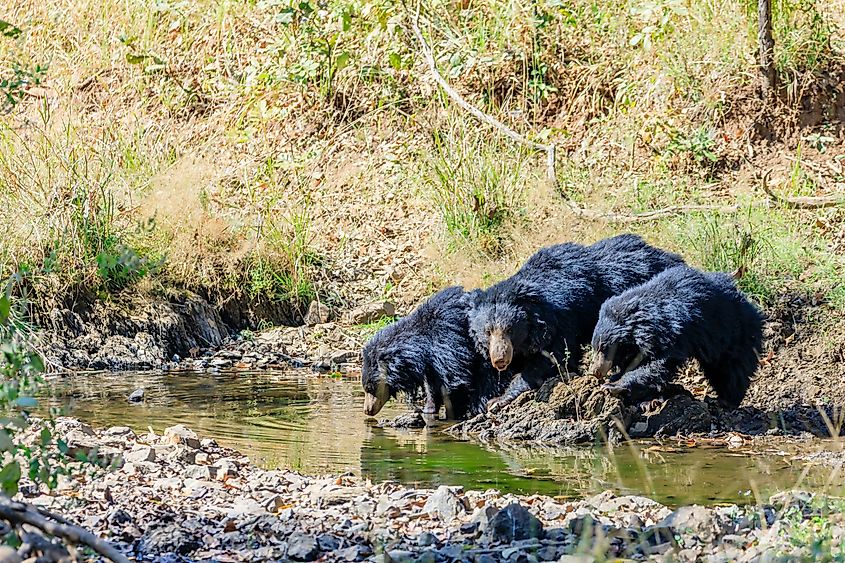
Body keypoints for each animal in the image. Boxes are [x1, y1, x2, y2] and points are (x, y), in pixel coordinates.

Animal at [361, 286, 511, 419]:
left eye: (371, 389)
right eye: (366, 389)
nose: (367, 411)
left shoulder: (449, 343)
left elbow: (456, 379)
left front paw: (454, 413)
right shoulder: (431, 364)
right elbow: (432, 385)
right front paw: (429, 409)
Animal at [467, 234, 685, 410]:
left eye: (509, 329)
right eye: (487, 332)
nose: (499, 359)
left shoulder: (563, 321)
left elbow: (553, 359)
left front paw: (498, 400)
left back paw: (648, 400)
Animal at [590, 264, 764, 408]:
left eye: (604, 348)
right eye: (595, 348)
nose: (595, 371)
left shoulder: (673, 333)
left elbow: (657, 364)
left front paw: (614, 385)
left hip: (735, 335)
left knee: (731, 369)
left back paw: (725, 400)